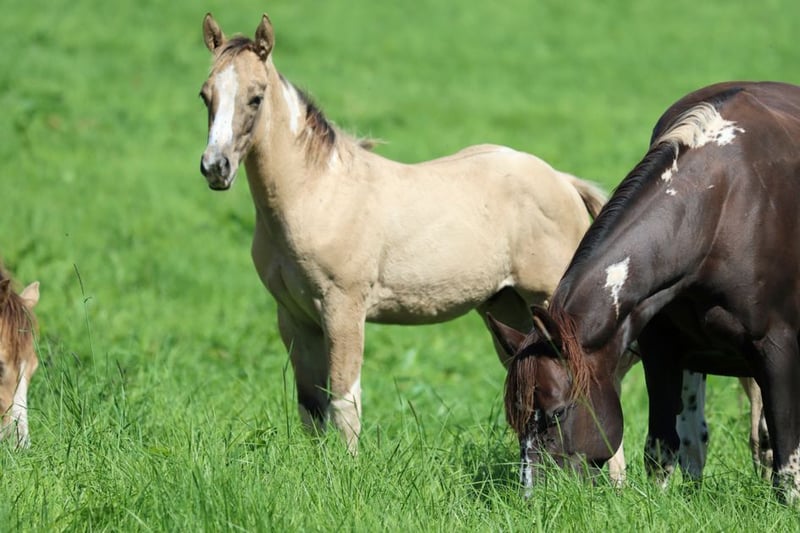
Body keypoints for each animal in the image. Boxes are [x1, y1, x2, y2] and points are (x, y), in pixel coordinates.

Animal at [197, 13, 608, 456]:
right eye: (205, 95)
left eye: (256, 97)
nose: (216, 167)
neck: (318, 194)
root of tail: (564, 181)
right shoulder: (293, 316)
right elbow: (311, 404)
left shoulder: (343, 310)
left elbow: (345, 402)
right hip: (507, 307)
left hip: (547, 300)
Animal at [488, 81, 800, 502]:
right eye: (517, 418)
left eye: (556, 412)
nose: (534, 499)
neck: (720, 208)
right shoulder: (661, 349)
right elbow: (662, 446)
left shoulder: (776, 349)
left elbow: (786, 452)